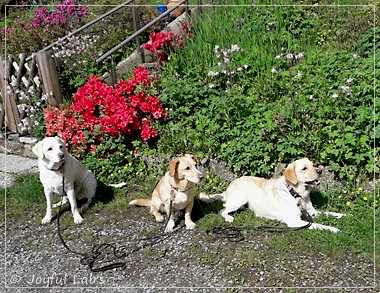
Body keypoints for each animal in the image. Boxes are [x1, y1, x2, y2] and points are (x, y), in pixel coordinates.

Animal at [200, 159, 346, 232]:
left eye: (313, 165)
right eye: (304, 168)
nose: (320, 171)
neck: (297, 194)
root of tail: (229, 187)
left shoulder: (311, 212)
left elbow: (331, 213)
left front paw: (345, 215)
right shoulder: (295, 221)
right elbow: (318, 225)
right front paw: (333, 228)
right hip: (240, 199)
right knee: (222, 210)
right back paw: (228, 218)